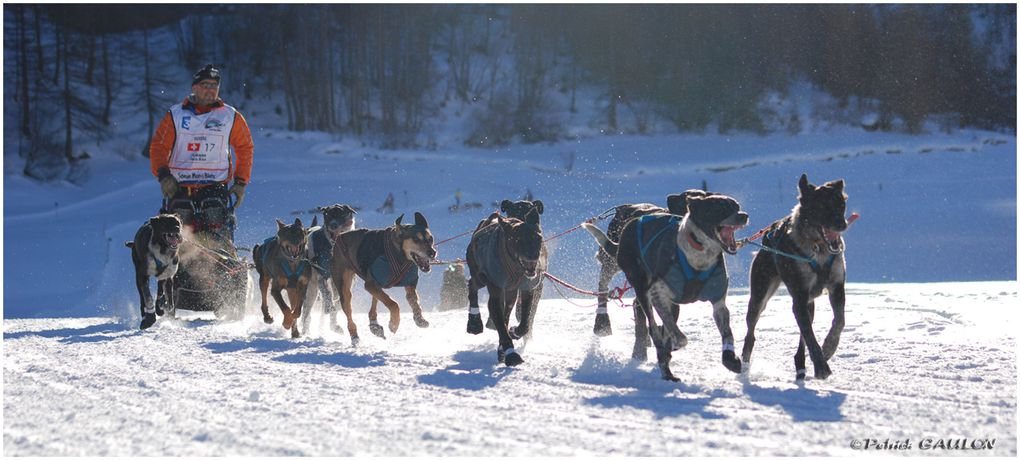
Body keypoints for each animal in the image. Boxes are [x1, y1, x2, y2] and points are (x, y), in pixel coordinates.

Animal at [330, 212, 434, 346]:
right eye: (416, 239)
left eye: (430, 239)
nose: (432, 253)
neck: (399, 254)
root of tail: (340, 236)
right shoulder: (370, 284)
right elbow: (393, 304)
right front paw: (394, 323)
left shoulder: (410, 283)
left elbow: (413, 300)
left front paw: (419, 318)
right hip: (345, 286)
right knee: (349, 312)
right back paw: (355, 336)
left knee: (375, 302)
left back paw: (374, 325)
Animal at [742, 173, 852, 381]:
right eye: (822, 206)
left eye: (841, 204)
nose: (842, 224)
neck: (819, 249)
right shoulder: (799, 296)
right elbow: (810, 336)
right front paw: (821, 366)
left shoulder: (836, 286)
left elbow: (839, 321)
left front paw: (829, 347)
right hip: (760, 296)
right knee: (751, 330)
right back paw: (744, 359)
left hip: (809, 304)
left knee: (804, 334)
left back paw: (801, 364)